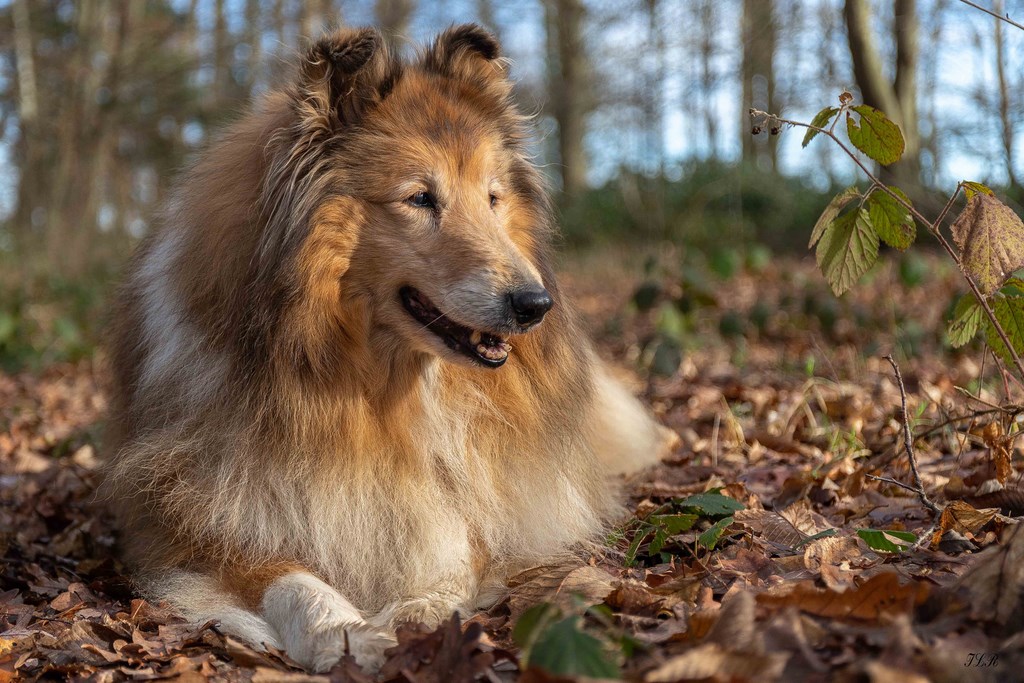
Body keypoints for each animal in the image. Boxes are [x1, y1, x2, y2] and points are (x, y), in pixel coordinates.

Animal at [101, 22, 663, 671]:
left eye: (493, 198)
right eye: (420, 198)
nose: (535, 306)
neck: (376, 393)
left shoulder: (476, 502)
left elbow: (450, 556)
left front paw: (410, 619)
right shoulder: (201, 521)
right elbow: (291, 581)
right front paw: (346, 634)